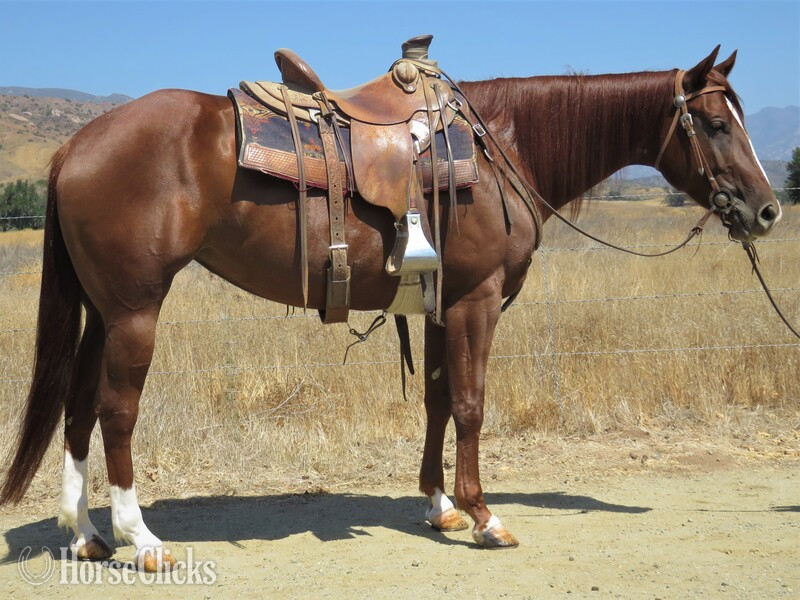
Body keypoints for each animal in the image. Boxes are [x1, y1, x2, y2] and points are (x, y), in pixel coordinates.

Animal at [0, 46, 780, 570]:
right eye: (714, 123)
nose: (767, 210)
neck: (503, 149)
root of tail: (75, 145)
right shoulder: (477, 300)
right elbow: (470, 402)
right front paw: (485, 515)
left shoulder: (439, 303)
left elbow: (436, 399)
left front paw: (439, 506)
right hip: (134, 311)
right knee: (116, 411)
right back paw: (142, 539)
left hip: (101, 312)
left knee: (77, 405)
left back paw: (86, 534)